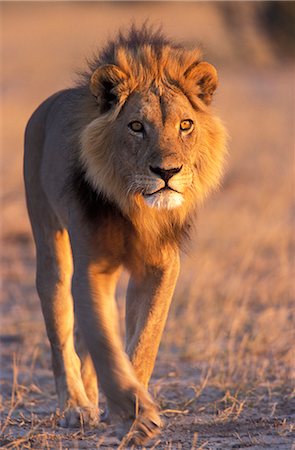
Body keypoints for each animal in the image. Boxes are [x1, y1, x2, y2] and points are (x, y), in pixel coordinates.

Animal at [23, 25, 227, 442]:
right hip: (49, 242)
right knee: (61, 330)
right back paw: (76, 406)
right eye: (136, 126)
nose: (167, 172)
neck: (137, 209)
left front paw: (132, 407)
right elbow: (102, 339)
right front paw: (136, 414)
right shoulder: (91, 267)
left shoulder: (162, 267)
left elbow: (143, 339)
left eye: (185, 125)